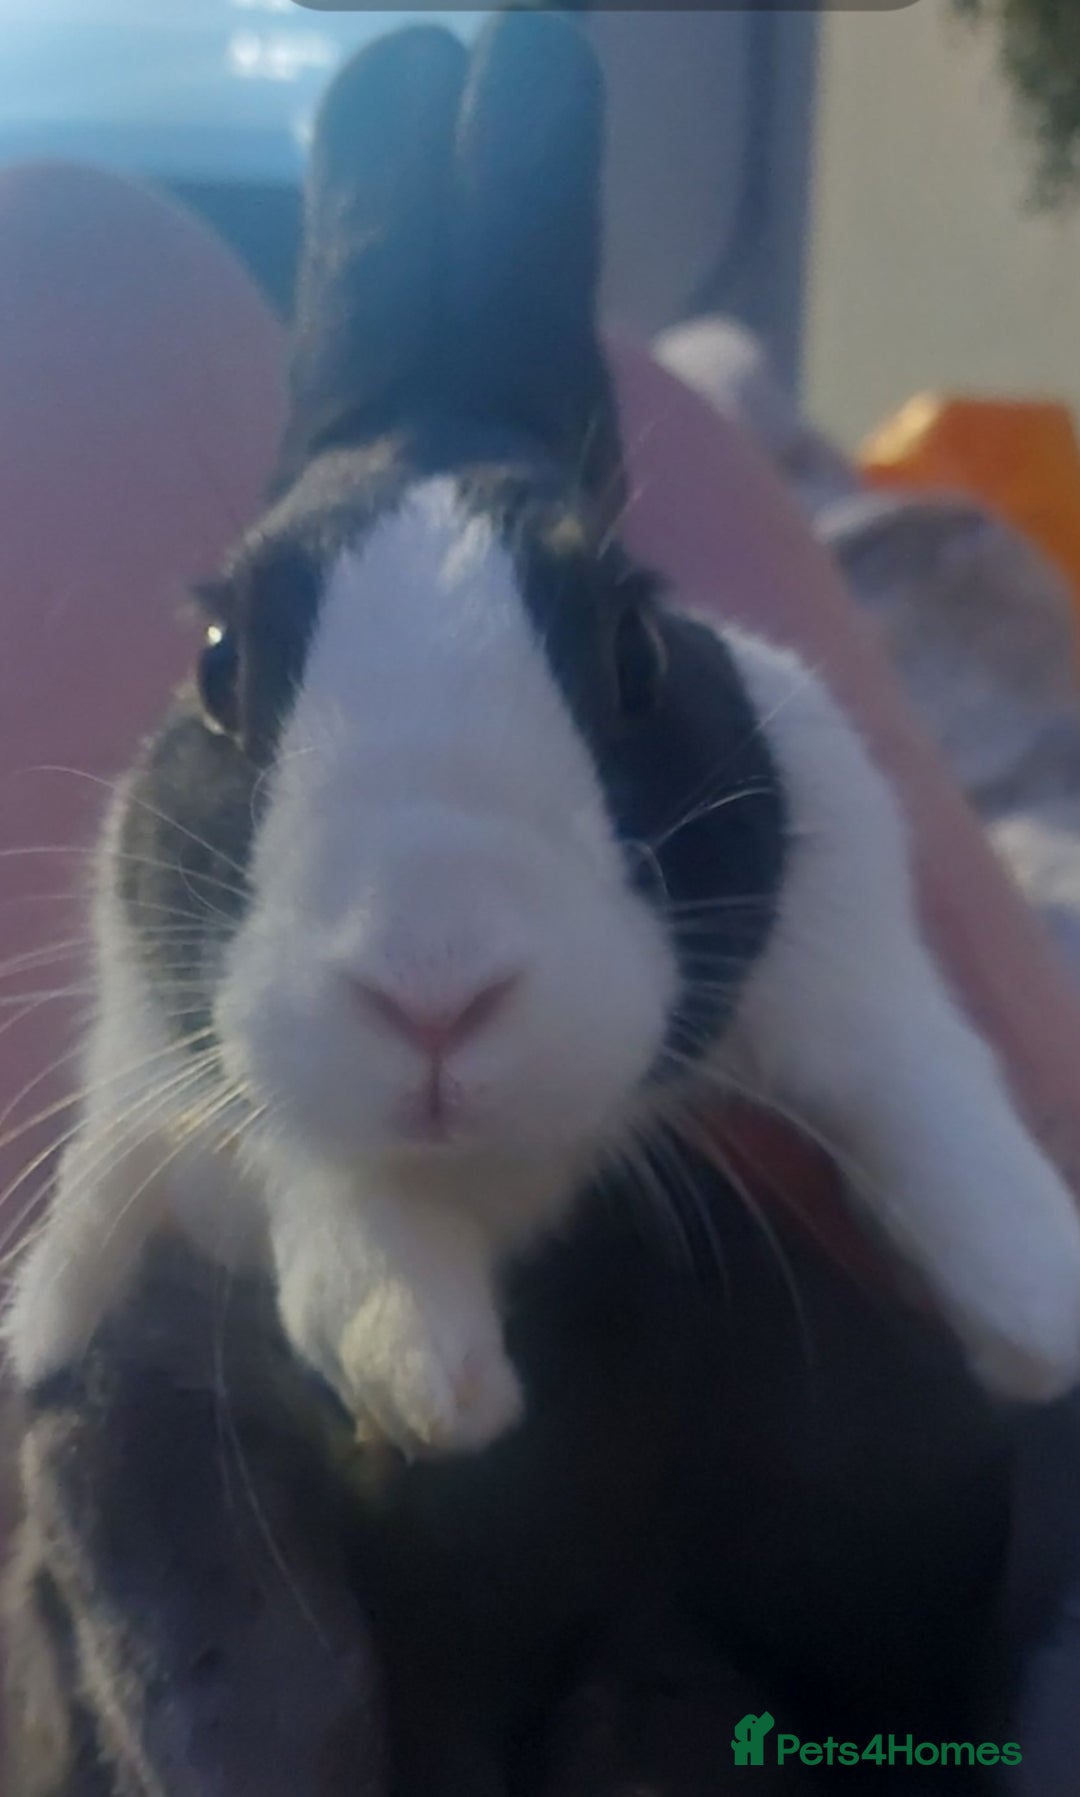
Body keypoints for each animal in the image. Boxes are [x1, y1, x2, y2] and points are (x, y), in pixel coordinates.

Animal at [2, 14, 1066, 1792]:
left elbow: (923, 1091)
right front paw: (431, 1368)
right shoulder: (220, 1100)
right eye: (221, 667)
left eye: (633, 654)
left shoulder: (850, 921)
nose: (434, 989)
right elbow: (335, 1209)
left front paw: (1041, 1304)